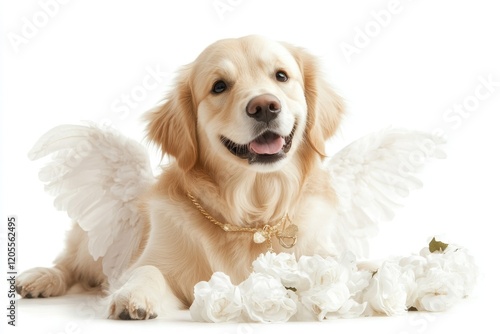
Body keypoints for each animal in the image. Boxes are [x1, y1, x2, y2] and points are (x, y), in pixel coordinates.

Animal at [16, 35, 348, 320]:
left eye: (281, 76)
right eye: (219, 86)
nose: (264, 106)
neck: (251, 214)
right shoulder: (157, 260)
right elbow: (147, 271)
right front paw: (133, 296)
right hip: (91, 245)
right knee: (68, 265)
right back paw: (39, 278)